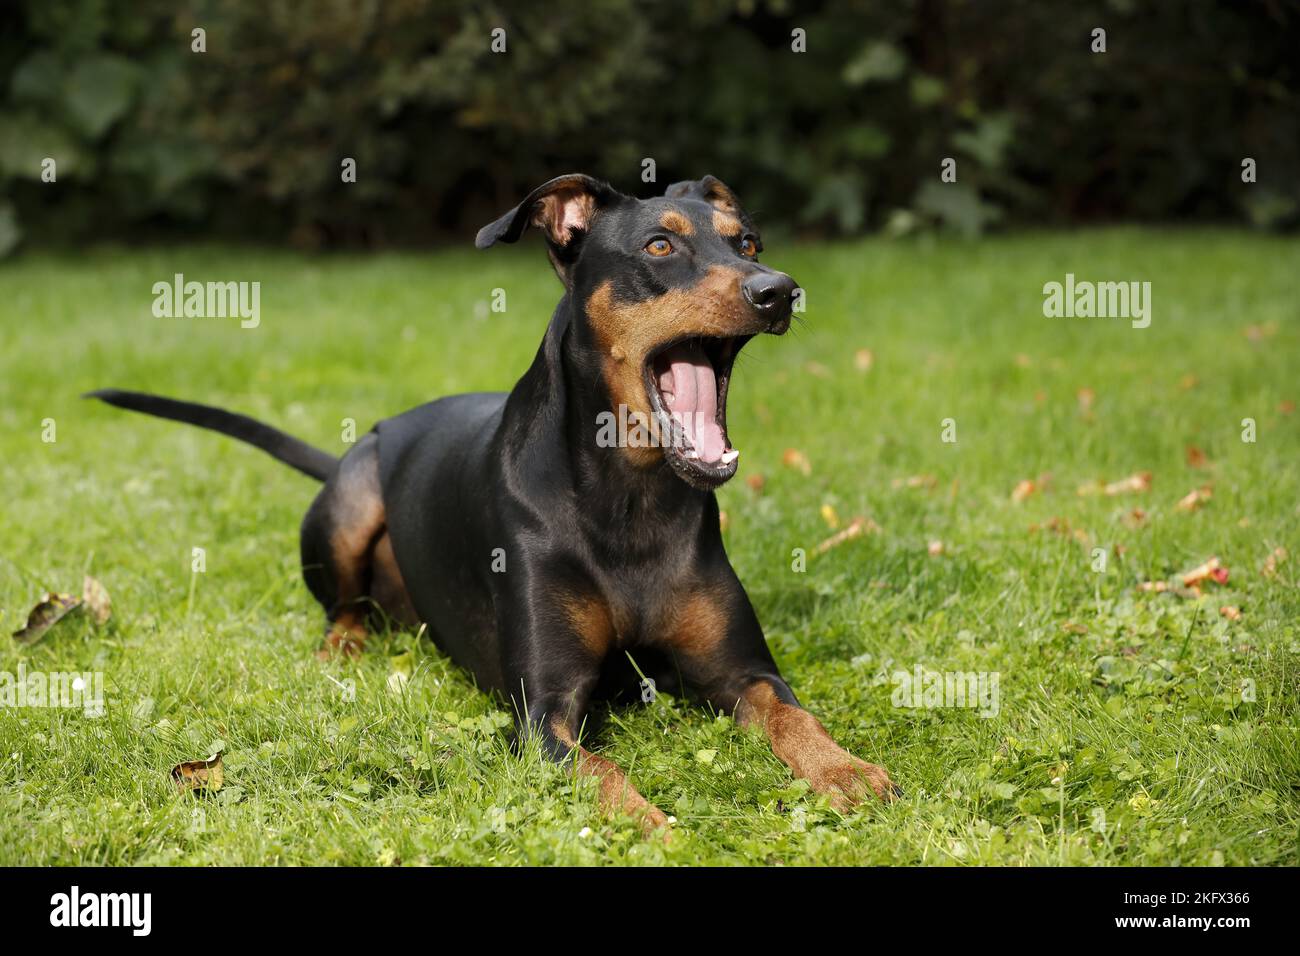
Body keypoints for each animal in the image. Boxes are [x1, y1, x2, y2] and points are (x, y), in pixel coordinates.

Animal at [91, 175, 899, 832]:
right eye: (660, 244)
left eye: (749, 242)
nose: (778, 289)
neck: (629, 497)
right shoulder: (542, 714)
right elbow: (603, 773)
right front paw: (654, 826)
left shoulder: (742, 673)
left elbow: (793, 716)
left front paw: (847, 770)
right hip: (349, 501)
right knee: (341, 609)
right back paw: (342, 649)